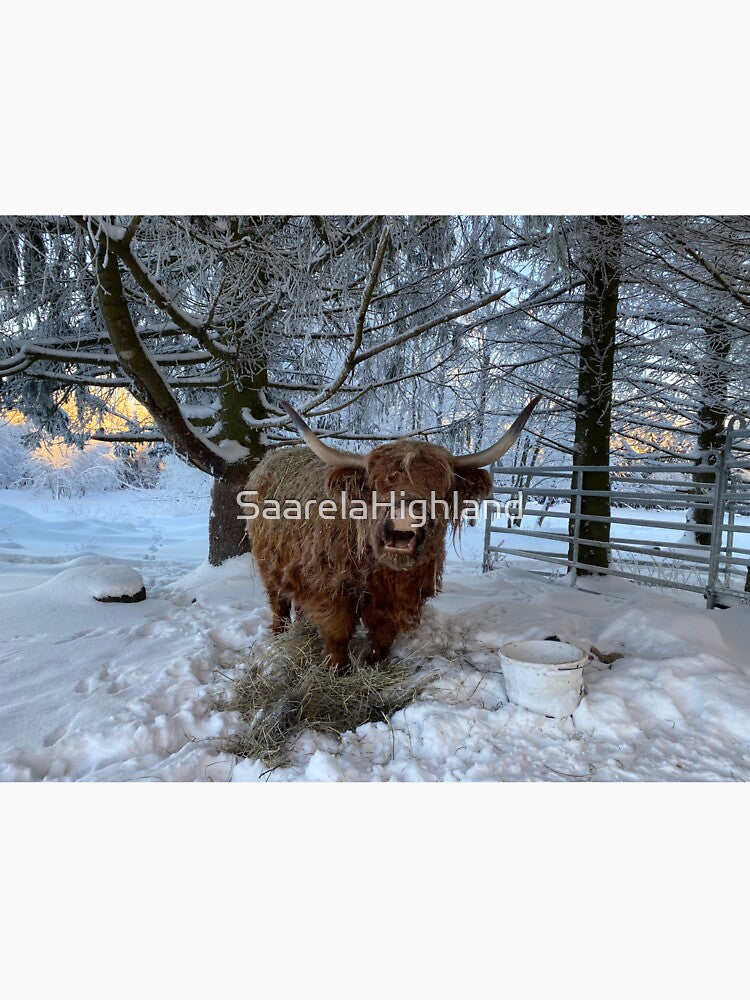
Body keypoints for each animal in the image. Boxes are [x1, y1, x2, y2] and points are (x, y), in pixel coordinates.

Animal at [243, 397, 541, 671]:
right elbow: (338, 634)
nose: (406, 514)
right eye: (376, 486)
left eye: (441, 489)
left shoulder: (398, 600)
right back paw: (279, 636)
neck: (385, 572)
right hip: (269, 566)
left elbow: (383, 637)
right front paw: (335, 669)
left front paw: (375, 664)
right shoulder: (333, 592)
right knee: (279, 603)